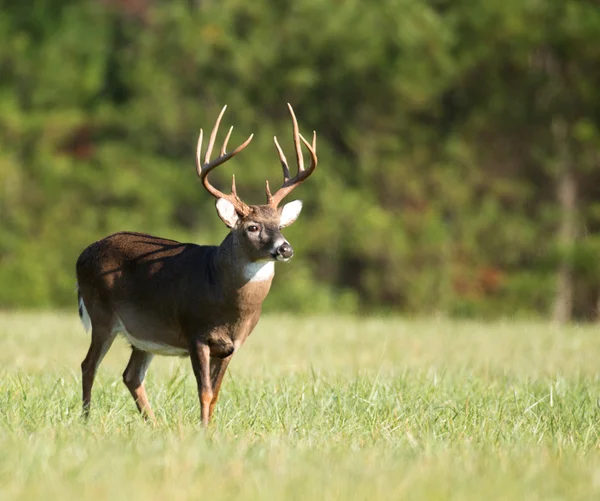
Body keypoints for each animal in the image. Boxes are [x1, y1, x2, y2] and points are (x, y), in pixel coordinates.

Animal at [76, 103, 314, 424]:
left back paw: (154, 425)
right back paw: (86, 420)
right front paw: (202, 430)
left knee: (131, 375)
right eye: (252, 227)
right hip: (101, 314)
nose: (285, 248)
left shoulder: (231, 346)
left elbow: (215, 395)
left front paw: (210, 428)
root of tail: (83, 255)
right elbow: (204, 392)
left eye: (280, 226)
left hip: (143, 333)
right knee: (88, 365)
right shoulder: (195, 333)